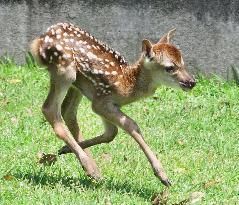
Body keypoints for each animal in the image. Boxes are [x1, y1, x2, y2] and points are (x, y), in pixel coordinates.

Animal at [29, 22, 195, 186]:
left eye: (183, 62)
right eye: (170, 67)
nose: (192, 82)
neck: (127, 84)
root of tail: (39, 41)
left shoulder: (105, 104)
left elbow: (111, 132)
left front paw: (64, 149)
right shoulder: (102, 101)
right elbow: (131, 125)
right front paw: (163, 176)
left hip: (77, 84)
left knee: (68, 111)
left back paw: (81, 159)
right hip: (65, 70)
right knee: (50, 109)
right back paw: (91, 169)